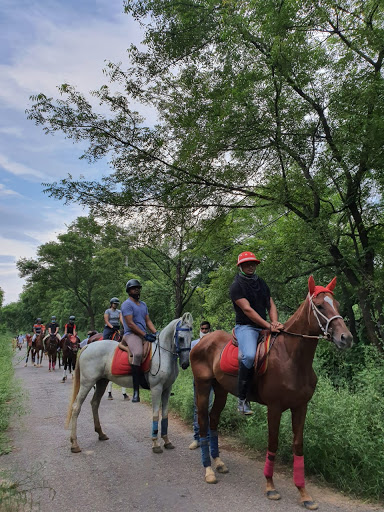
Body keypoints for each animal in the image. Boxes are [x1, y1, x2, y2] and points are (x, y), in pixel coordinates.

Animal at [66, 312, 194, 452]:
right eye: (180, 338)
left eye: (191, 337)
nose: (185, 363)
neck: (162, 354)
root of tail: (88, 345)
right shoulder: (156, 388)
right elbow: (155, 414)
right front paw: (155, 444)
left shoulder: (167, 389)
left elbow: (165, 415)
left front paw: (167, 441)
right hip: (87, 383)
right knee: (76, 407)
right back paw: (74, 443)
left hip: (101, 382)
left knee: (94, 403)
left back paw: (100, 433)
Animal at [192, 278, 354, 510]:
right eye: (320, 306)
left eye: (338, 304)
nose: (346, 338)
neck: (292, 357)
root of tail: (203, 340)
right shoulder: (275, 408)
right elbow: (273, 443)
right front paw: (270, 486)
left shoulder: (300, 406)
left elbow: (298, 445)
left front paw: (304, 493)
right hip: (203, 386)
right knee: (204, 422)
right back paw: (208, 470)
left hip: (221, 389)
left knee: (213, 419)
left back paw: (219, 462)